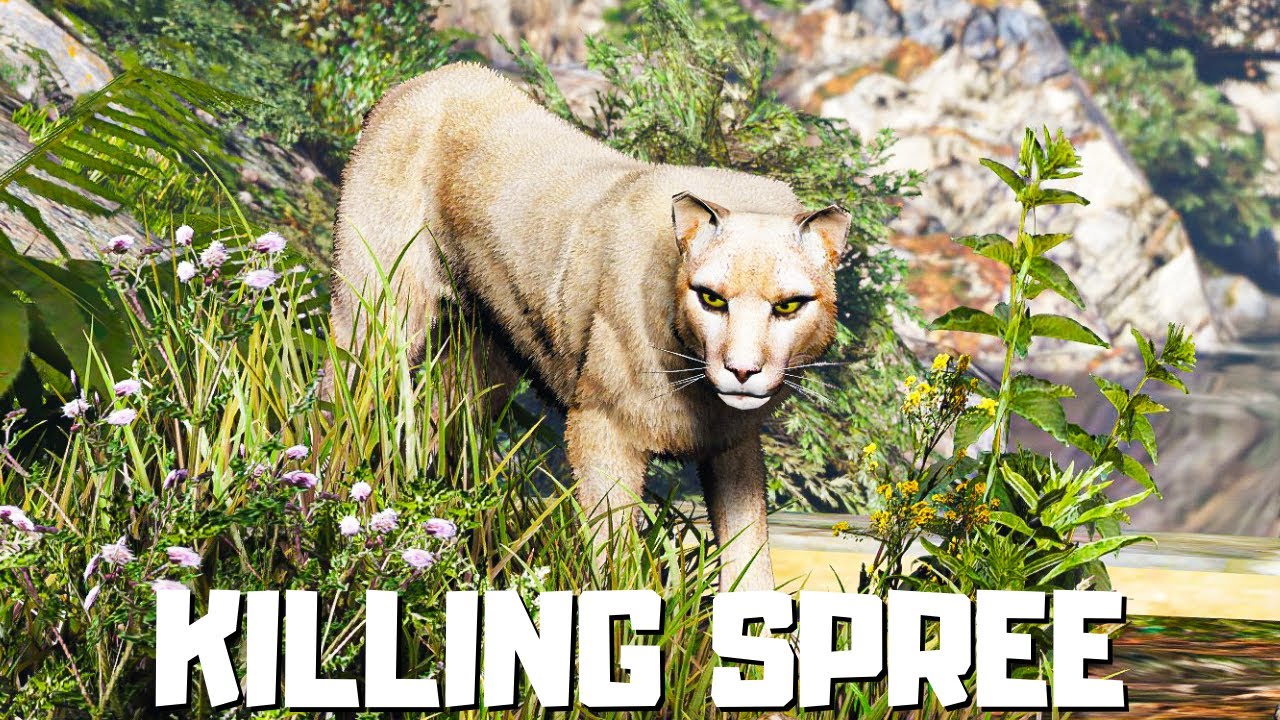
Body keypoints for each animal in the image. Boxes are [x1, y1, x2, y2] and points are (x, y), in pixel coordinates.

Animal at [329, 63, 850, 592]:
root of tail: (433, 78)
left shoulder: (734, 445)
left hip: (478, 369)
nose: (742, 371)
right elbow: (615, 553)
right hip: (374, 319)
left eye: (788, 305)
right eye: (711, 298)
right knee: (339, 411)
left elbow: (749, 552)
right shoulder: (601, 429)